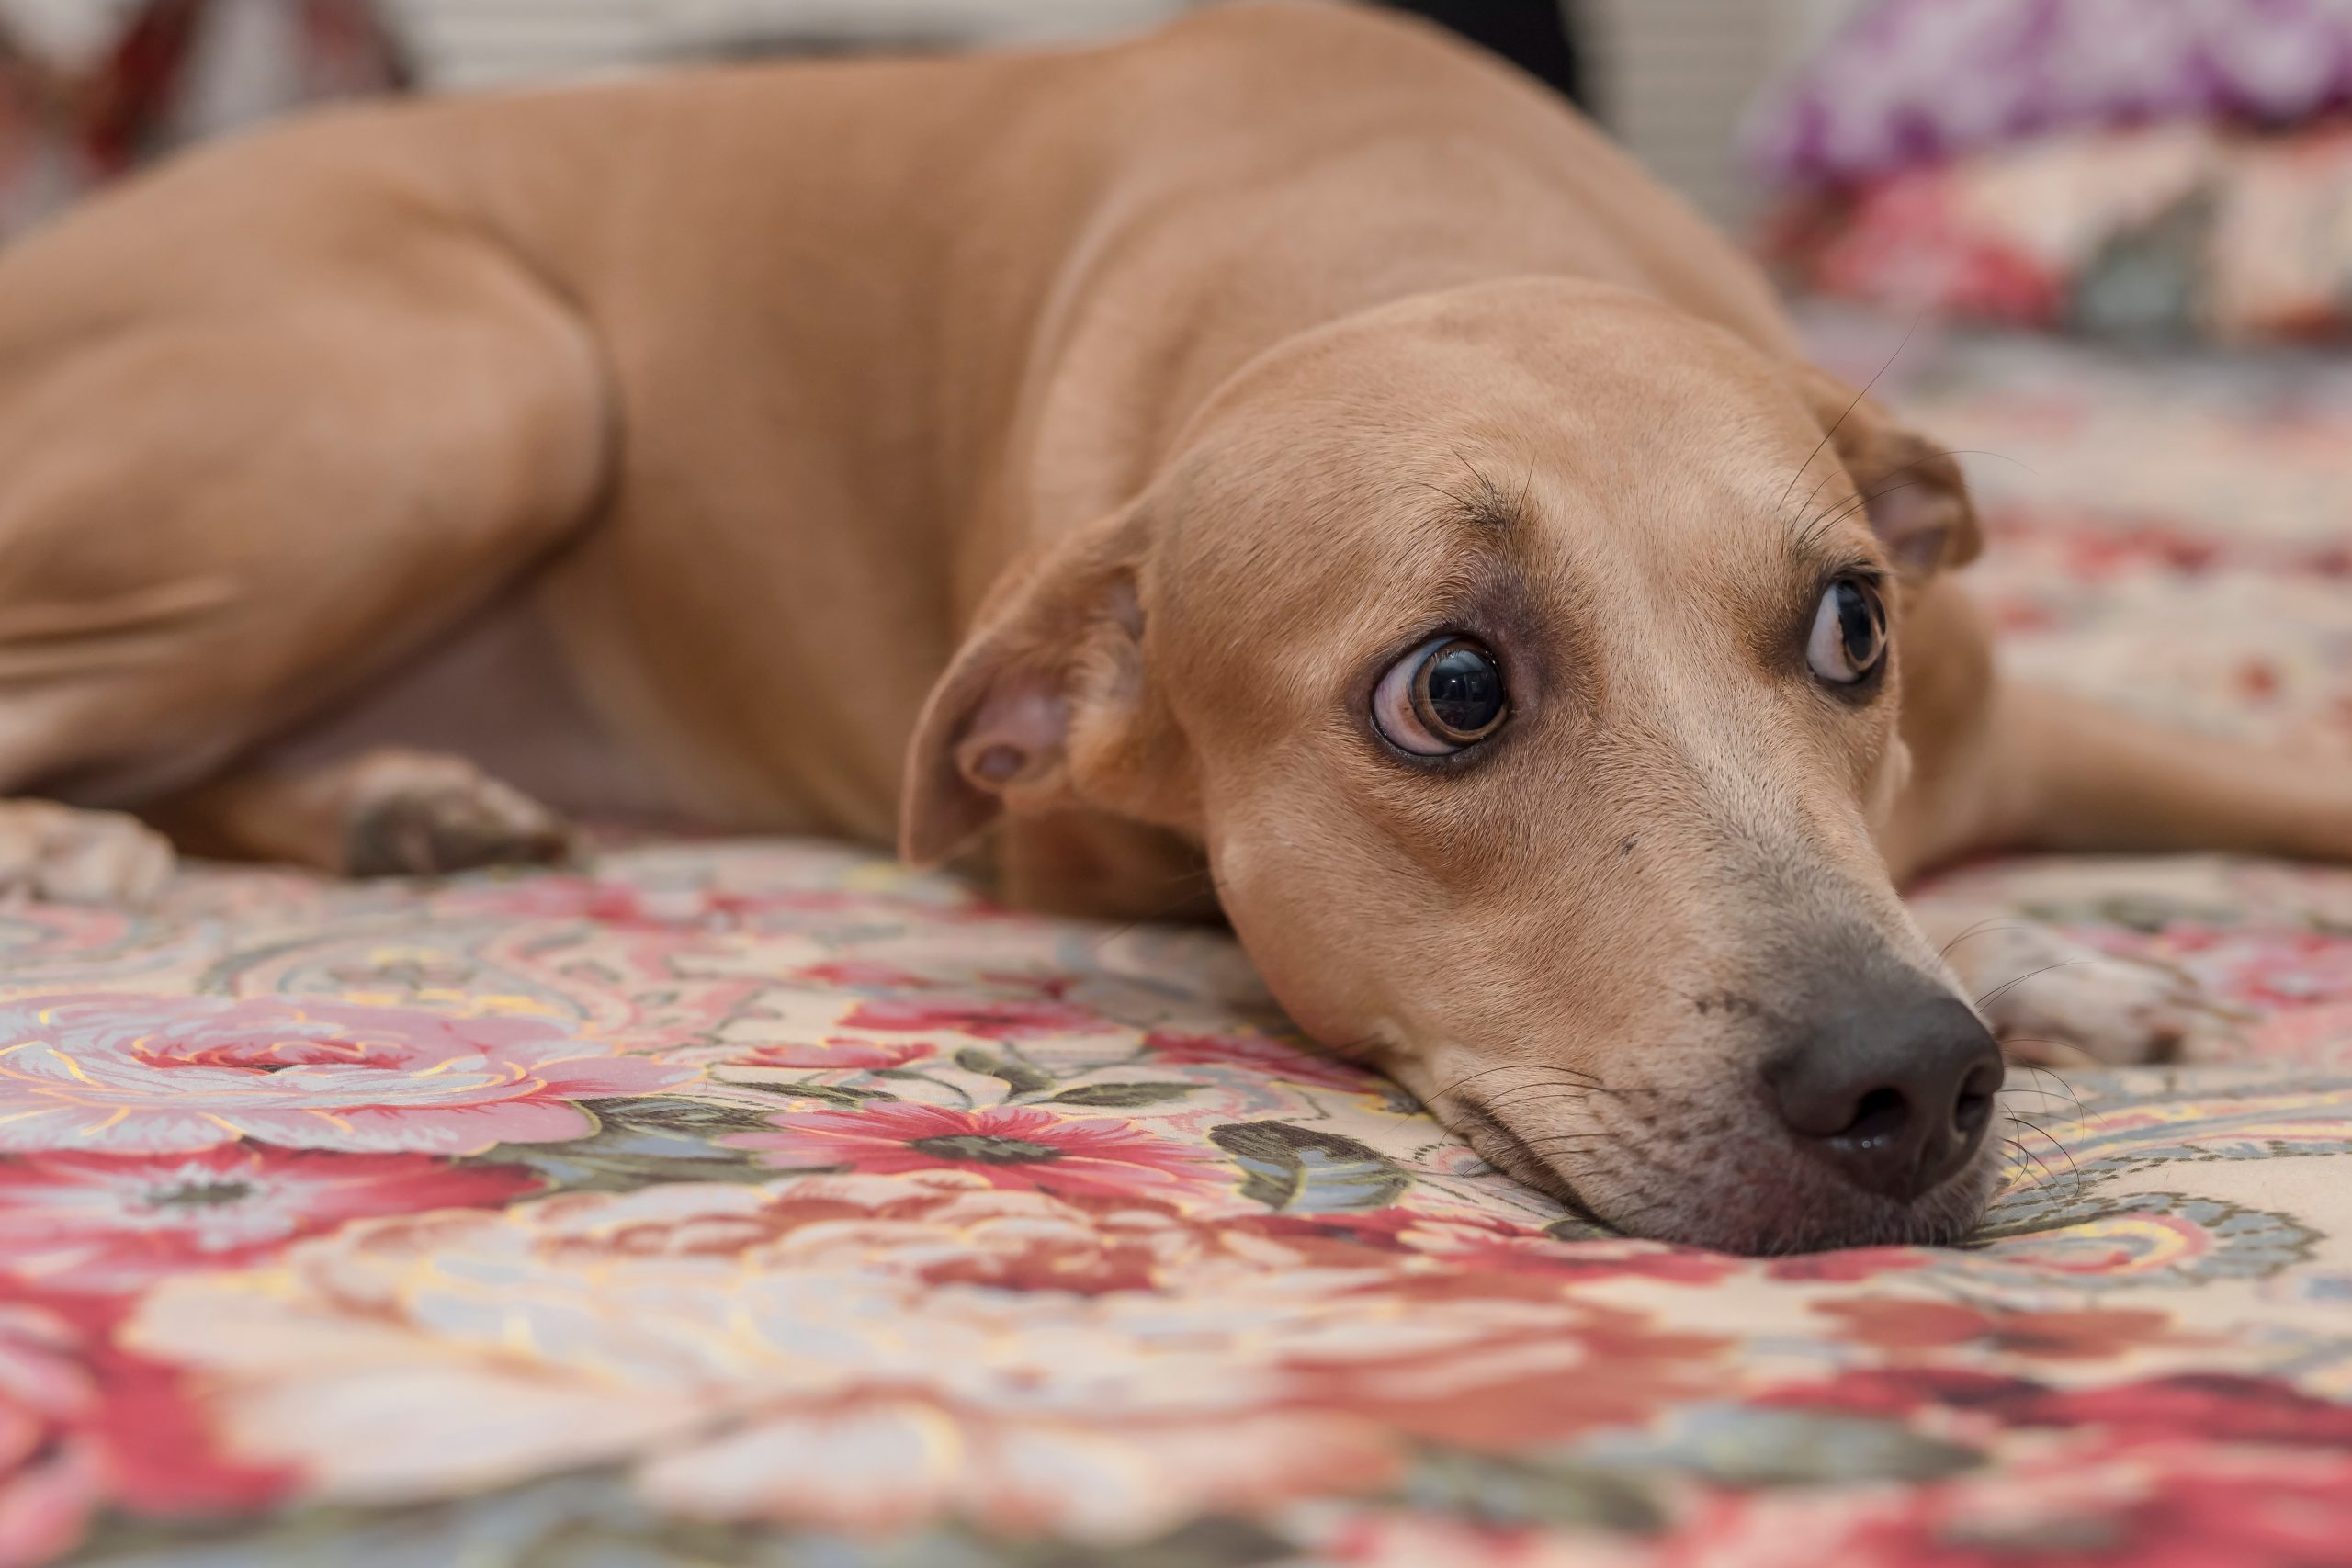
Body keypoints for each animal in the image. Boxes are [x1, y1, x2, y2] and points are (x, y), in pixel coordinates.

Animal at [0, 0, 2333, 1250]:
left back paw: (397, 800)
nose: (1907, 1077)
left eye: (1852, 626)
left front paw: (2039, 949)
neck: (1410, 248)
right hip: (472, 381)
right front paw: (2033, 956)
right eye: (1448, 689)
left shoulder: (2045, 727)